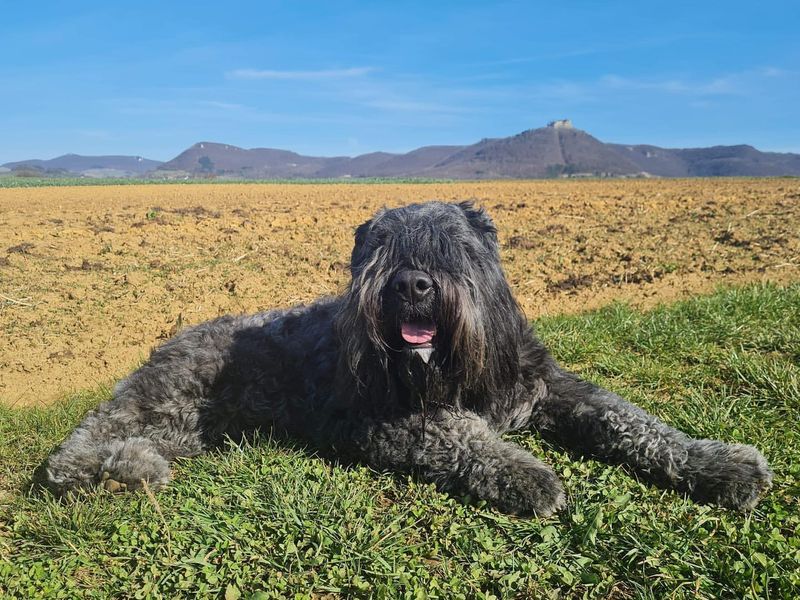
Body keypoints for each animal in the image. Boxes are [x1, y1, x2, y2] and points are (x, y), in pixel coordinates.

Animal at [45, 202, 776, 516]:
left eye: (451, 246)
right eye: (383, 251)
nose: (413, 286)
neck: (458, 364)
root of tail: (162, 344)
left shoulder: (547, 386)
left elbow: (633, 422)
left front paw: (719, 463)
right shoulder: (386, 421)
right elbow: (464, 435)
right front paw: (527, 474)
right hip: (170, 407)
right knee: (79, 448)